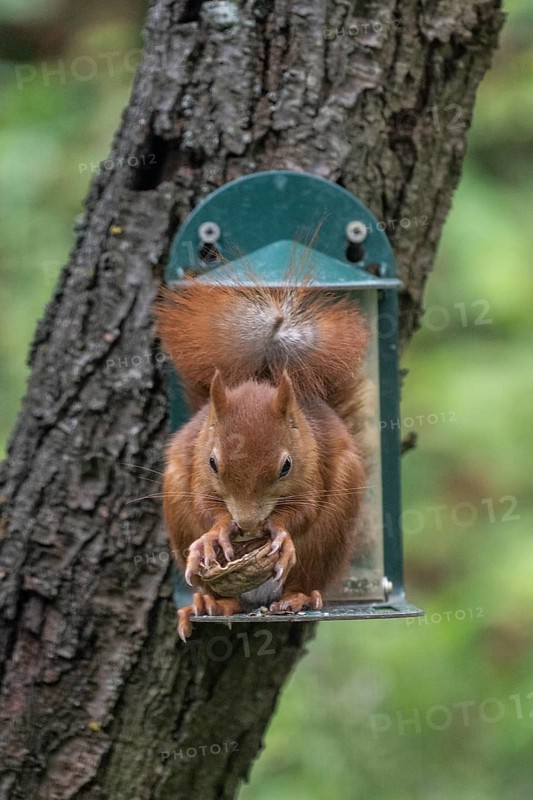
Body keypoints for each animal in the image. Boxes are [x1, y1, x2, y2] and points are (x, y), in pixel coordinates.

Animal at [155, 279, 370, 640]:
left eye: (286, 466)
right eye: (213, 462)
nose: (247, 524)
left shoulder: (311, 468)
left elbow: (303, 509)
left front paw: (280, 532)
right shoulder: (198, 467)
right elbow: (205, 504)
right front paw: (215, 533)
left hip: (328, 537)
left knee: (303, 578)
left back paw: (297, 598)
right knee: (223, 595)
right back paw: (209, 603)